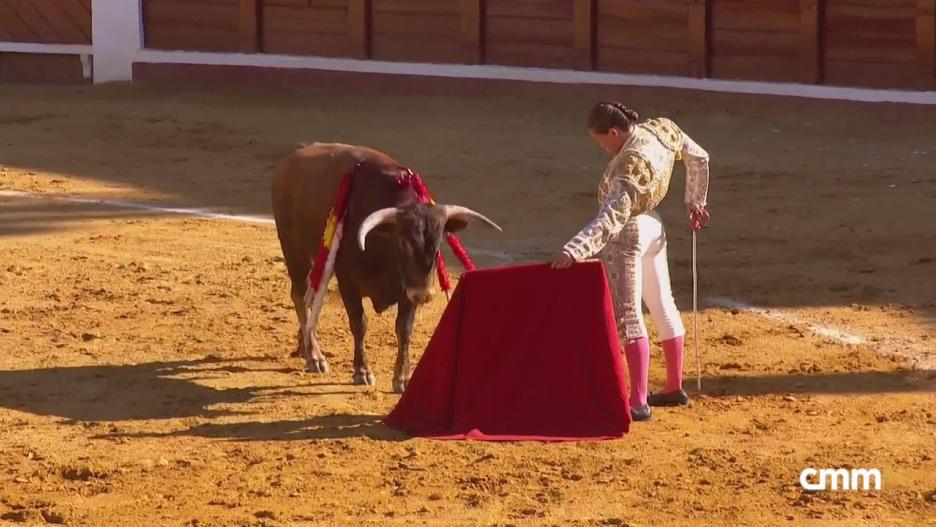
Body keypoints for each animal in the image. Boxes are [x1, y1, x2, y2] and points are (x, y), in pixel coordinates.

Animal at [272, 143, 504, 392]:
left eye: (439, 243)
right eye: (402, 242)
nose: (425, 295)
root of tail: (290, 161)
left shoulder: (407, 289)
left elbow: (404, 329)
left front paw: (402, 378)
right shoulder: (348, 283)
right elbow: (359, 323)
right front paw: (362, 372)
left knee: (312, 296)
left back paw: (303, 345)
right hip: (293, 248)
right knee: (300, 295)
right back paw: (314, 356)